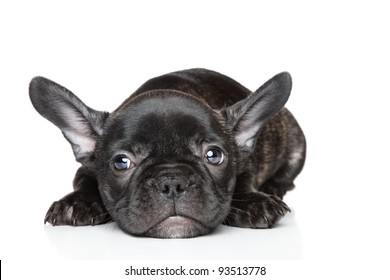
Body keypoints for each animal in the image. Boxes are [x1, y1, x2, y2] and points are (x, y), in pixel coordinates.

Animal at [29, 68, 306, 238]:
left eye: (214, 155)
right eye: (121, 162)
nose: (172, 182)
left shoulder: (246, 164)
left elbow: (245, 179)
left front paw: (254, 202)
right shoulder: (86, 168)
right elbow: (83, 181)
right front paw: (76, 202)